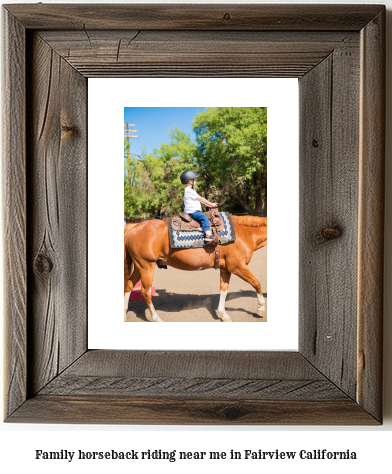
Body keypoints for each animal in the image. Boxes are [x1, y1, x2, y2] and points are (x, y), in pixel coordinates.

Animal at [125, 216, 266, 322]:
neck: (245, 233)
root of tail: (133, 227)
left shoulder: (225, 269)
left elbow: (223, 290)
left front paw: (223, 314)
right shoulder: (238, 266)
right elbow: (256, 283)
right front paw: (260, 309)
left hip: (139, 267)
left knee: (129, 286)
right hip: (147, 266)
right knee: (146, 292)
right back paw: (156, 318)